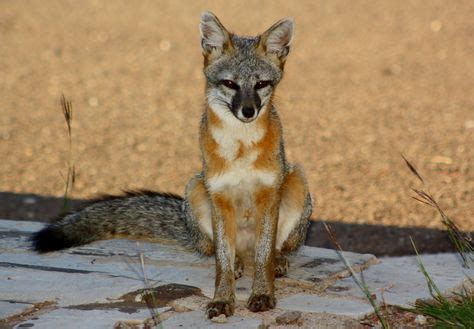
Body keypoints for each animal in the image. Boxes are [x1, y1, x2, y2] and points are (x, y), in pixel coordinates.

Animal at [34, 12, 314, 318]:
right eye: (230, 84)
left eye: (261, 84)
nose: (248, 111)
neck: (241, 148)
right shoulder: (219, 196)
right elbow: (222, 264)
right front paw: (222, 299)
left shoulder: (268, 194)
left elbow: (263, 256)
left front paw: (263, 293)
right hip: (195, 188)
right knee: (225, 252)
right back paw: (239, 263)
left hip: (297, 181)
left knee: (269, 250)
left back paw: (278, 260)